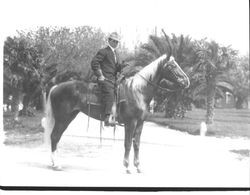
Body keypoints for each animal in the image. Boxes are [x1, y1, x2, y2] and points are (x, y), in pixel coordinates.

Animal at [43, 52, 189, 173]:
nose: (186, 81)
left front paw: (138, 166)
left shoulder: (140, 123)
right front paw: (127, 167)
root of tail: (56, 87)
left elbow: (136, 144)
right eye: (172, 66)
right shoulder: (131, 123)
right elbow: (128, 144)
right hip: (63, 119)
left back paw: (54, 163)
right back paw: (56, 164)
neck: (137, 91)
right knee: (54, 137)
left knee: (55, 137)